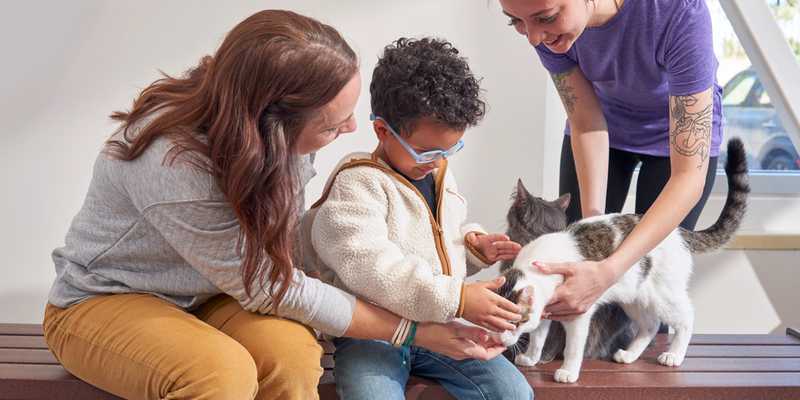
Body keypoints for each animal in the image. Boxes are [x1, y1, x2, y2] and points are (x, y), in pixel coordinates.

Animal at [496, 138, 748, 384]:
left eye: (515, 323)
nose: (502, 340)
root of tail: (678, 232)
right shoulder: (546, 311)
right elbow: (538, 337)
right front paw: (531, 357)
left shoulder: (577, 313)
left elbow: (572, 348)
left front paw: (567, 371)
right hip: (633, 298)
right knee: (650, 326)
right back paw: (629, 355)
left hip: (664, 296)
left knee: (686, 318)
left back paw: (674, 355)